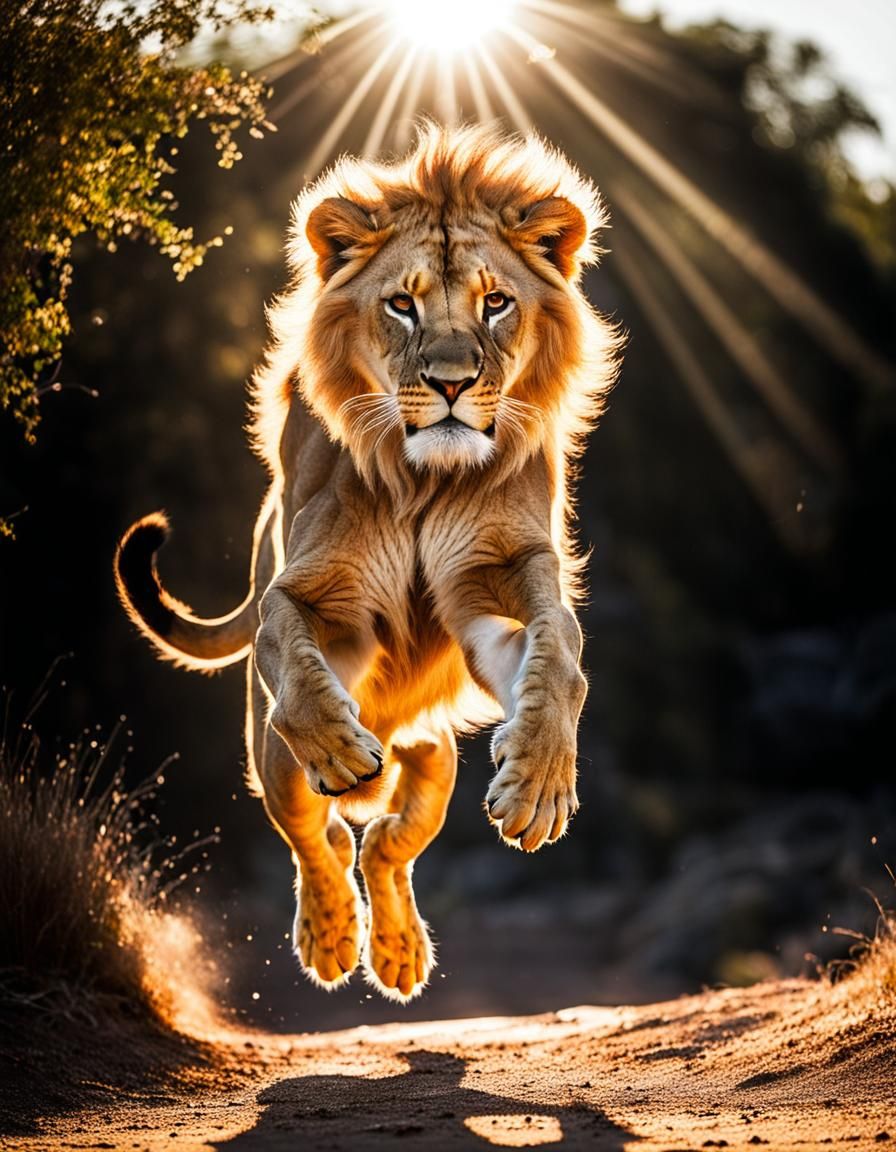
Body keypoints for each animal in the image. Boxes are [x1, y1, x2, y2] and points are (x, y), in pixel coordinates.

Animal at [114, 123, 620, 1001]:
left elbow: (560, 651)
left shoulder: (499, 583)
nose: (450, 383)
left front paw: (537, 785)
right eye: (401, 303)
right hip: (269, 753)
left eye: (496, 303)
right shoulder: (312, 593)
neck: (425, 479)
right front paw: (340, 748)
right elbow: (295, 655)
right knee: (318, 836)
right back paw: (331, 932)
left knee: (390, 835)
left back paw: (398, 948)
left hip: (436, 754)